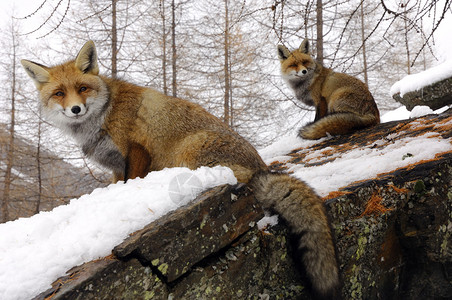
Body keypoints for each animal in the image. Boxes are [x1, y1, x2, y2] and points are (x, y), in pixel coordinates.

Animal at [21, 41, 340, 298]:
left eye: (83, 89)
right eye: (59, 93)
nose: (75, 109)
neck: (103, 117)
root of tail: (262, 168)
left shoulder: (137, 151)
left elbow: (132, 180)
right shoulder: (115, 168)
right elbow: (117, 184)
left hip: (191, 150)